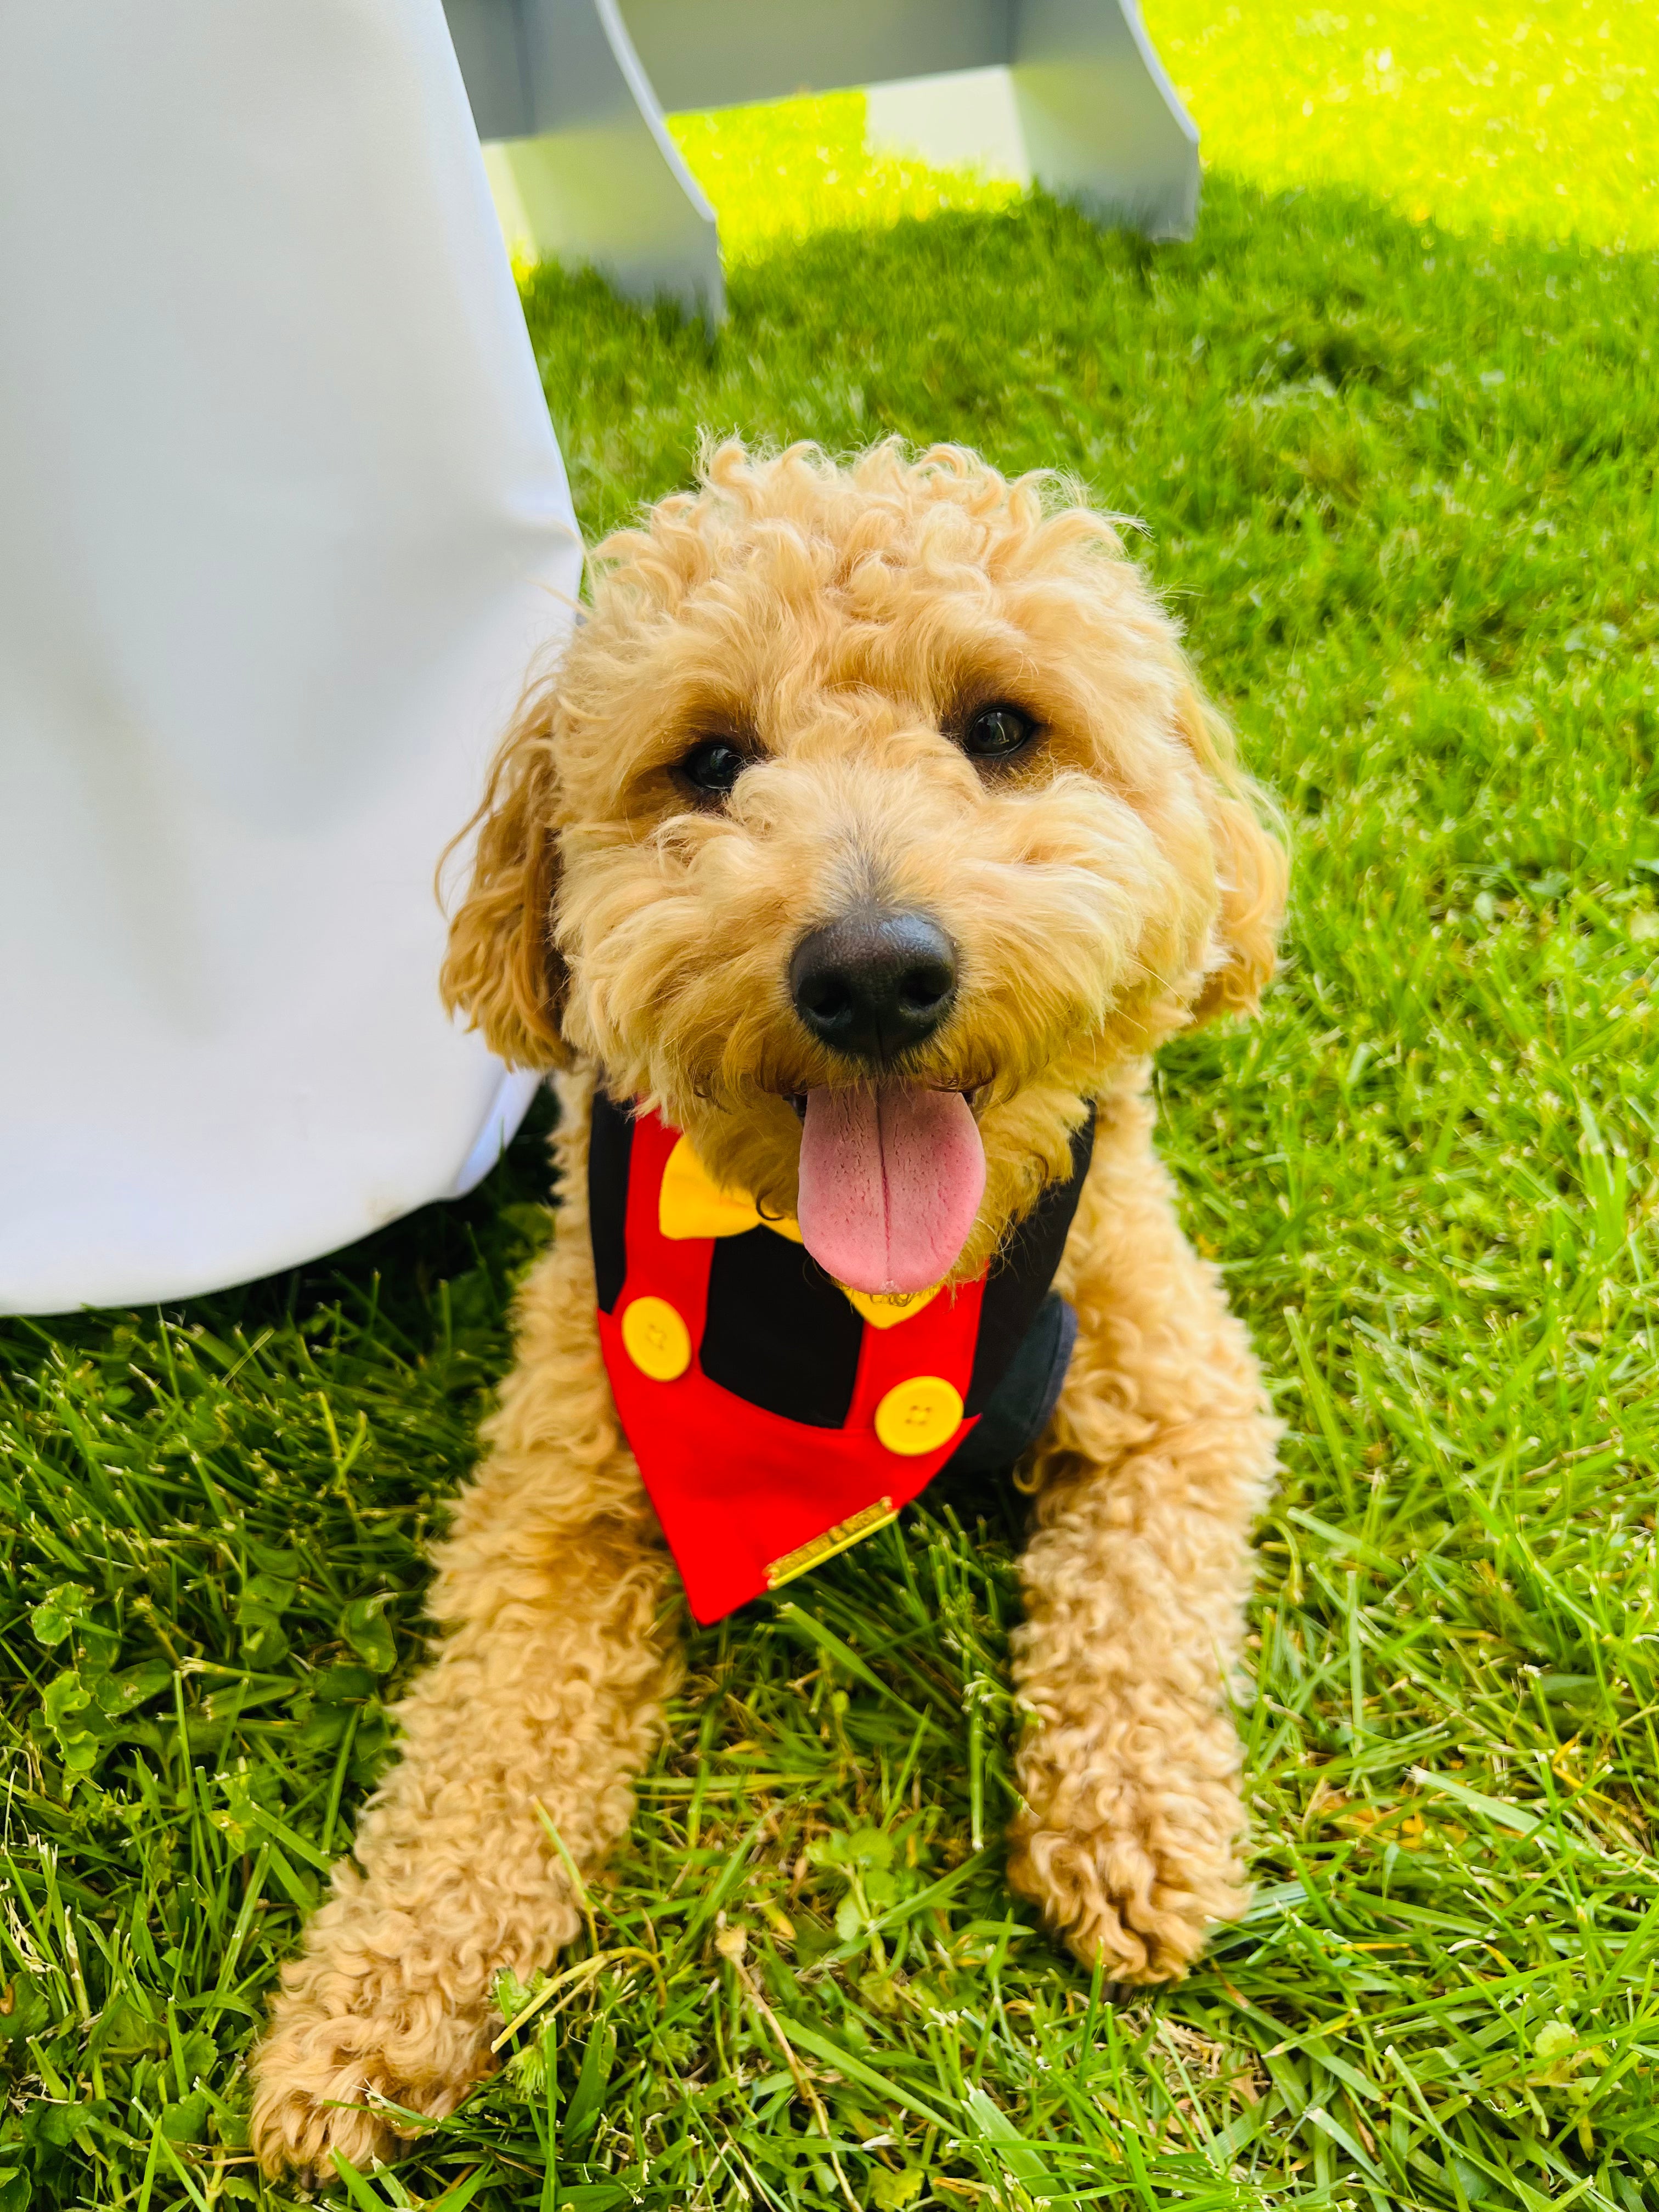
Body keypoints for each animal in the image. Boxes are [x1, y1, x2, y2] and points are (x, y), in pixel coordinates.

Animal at [250, 436, 1283, 2176]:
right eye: (713, 760)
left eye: (1000, 729)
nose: (873, 972)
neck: (853, 1302)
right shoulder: (554, 1497)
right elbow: (483, 1759)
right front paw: (373, 2006)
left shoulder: (1181, 1394)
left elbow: (1139, 1614)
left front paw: (1137, 1828)